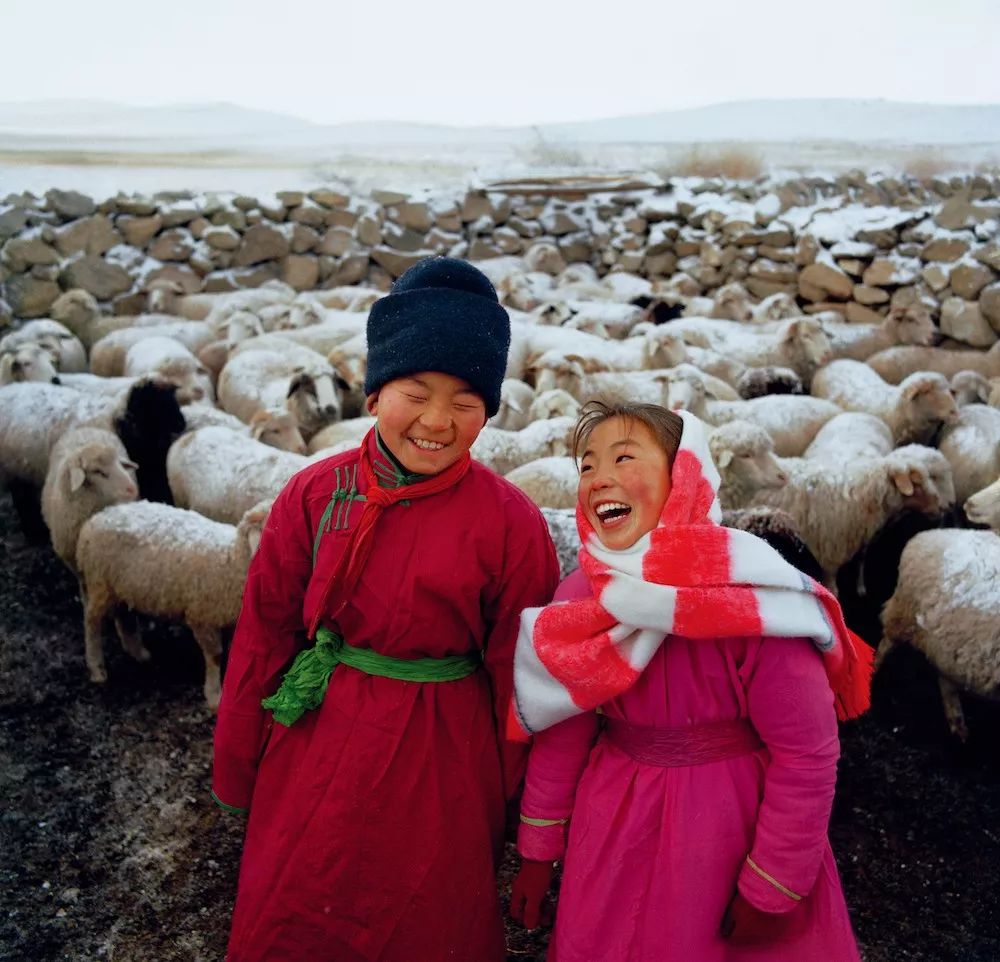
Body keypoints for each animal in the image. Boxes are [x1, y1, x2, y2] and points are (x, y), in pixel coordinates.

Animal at [74, 496, 272, 704]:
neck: (231, 559)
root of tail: (94, 520)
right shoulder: (201, 617)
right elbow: (215, 655)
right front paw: (214, 696)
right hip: (100, 584)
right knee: (91, 622)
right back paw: (96, 667)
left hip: (120, 587)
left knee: (123, 615)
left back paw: (138, 653)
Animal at [880, 476, 1000, 740]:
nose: (968, 504)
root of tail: (925, 535)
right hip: (902, 616)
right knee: (885, 644)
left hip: (947, 642)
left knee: (945, 679)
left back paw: (958, 724)